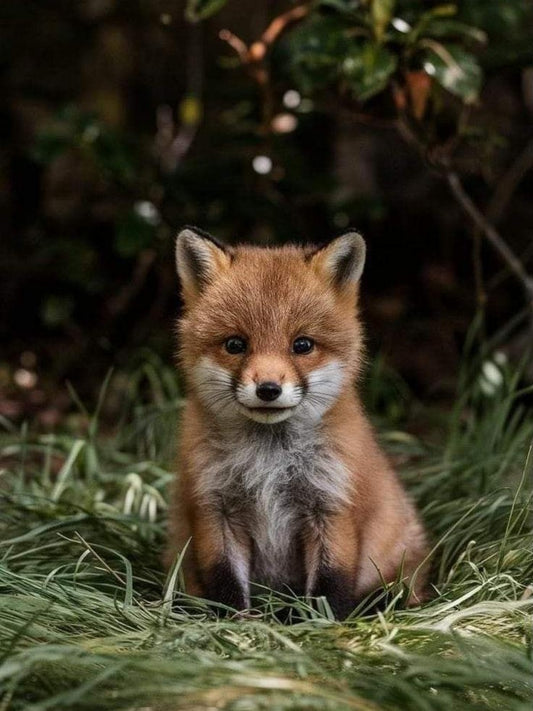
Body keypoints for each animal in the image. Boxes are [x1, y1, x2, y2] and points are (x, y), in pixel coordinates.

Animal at [165, 226, 429, 620]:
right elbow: (225, 583)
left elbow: (330, 582)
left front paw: (319, 623)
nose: (268, 389)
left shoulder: (331, 506)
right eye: (235, 344)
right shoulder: (215, 509)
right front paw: (236, 624)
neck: (268, 463)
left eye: (302, 345)